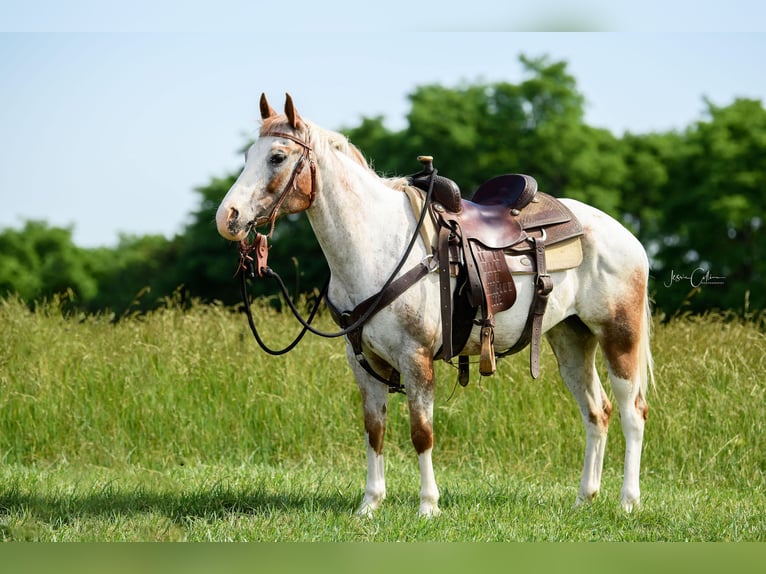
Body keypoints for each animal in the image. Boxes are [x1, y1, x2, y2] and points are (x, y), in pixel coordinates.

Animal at [214, 93, 656, 516]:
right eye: (248, 157)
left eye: (277, 157)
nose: (227, 217)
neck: (376, 244)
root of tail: (625, 236)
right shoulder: (363, 362)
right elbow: (374, 430)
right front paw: (369, 505)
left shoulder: (416, 358)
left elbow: (421, 432)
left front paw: (428, 505)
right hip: (571, 340)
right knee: (596, 412)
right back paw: (585, 499)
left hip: (619, 336)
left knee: (633, 411)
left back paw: (628, 502)